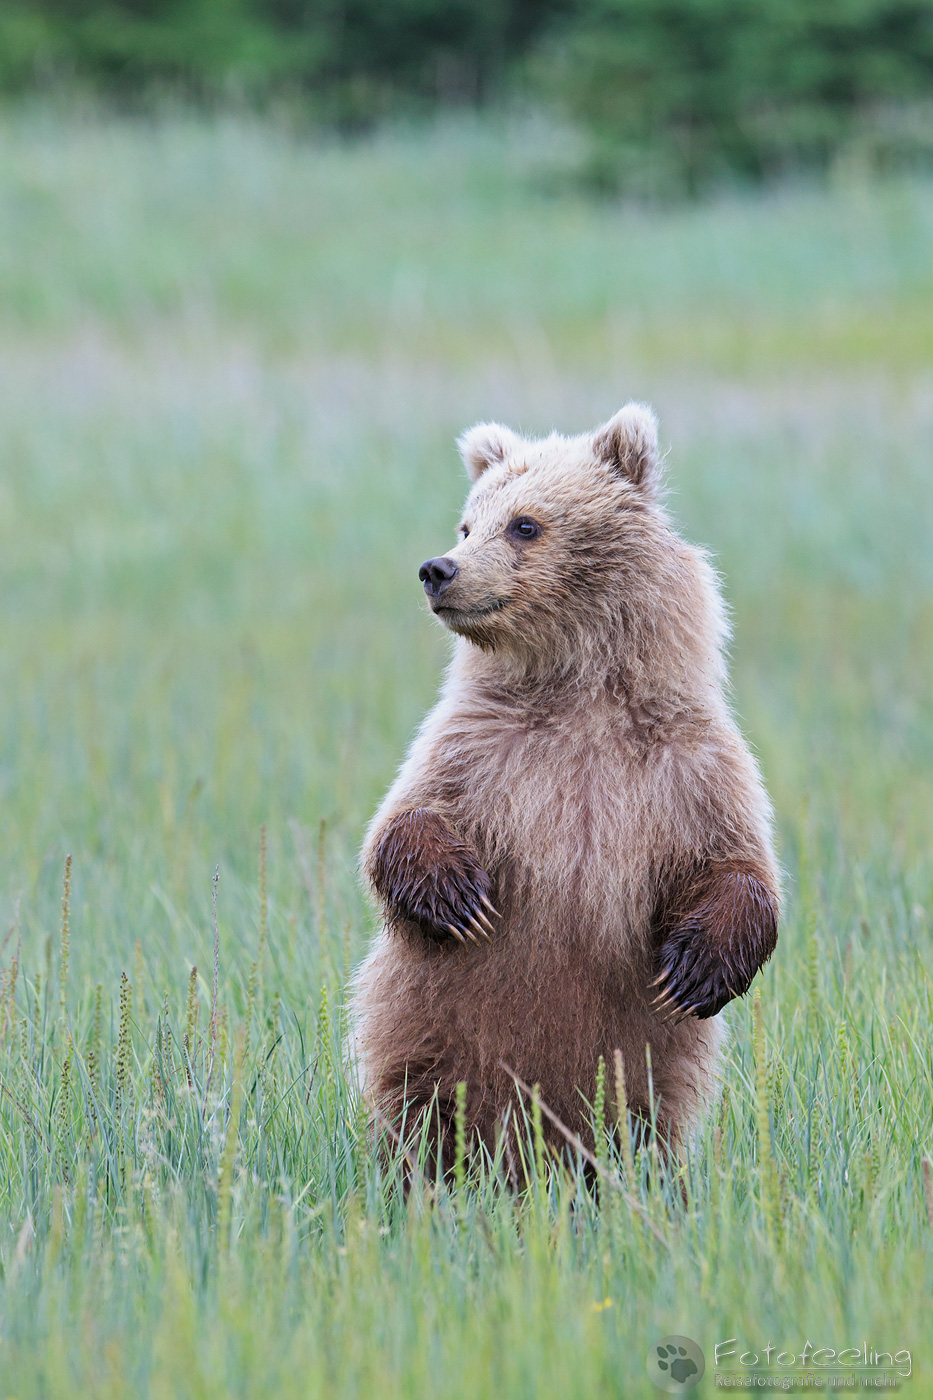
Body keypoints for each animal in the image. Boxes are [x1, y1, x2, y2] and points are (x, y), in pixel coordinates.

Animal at [349, 403, 779, 1172]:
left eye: (525, 524)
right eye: (468, 522)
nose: (438, 569)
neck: (581, 692)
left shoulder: (689, 765)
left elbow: (737, 865)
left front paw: (695, 969)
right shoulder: (479, 748)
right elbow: (400, 824)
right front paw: (459, 899)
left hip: (642, 1079)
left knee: (642, 1121)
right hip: (426, 1034)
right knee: (425, 1111)